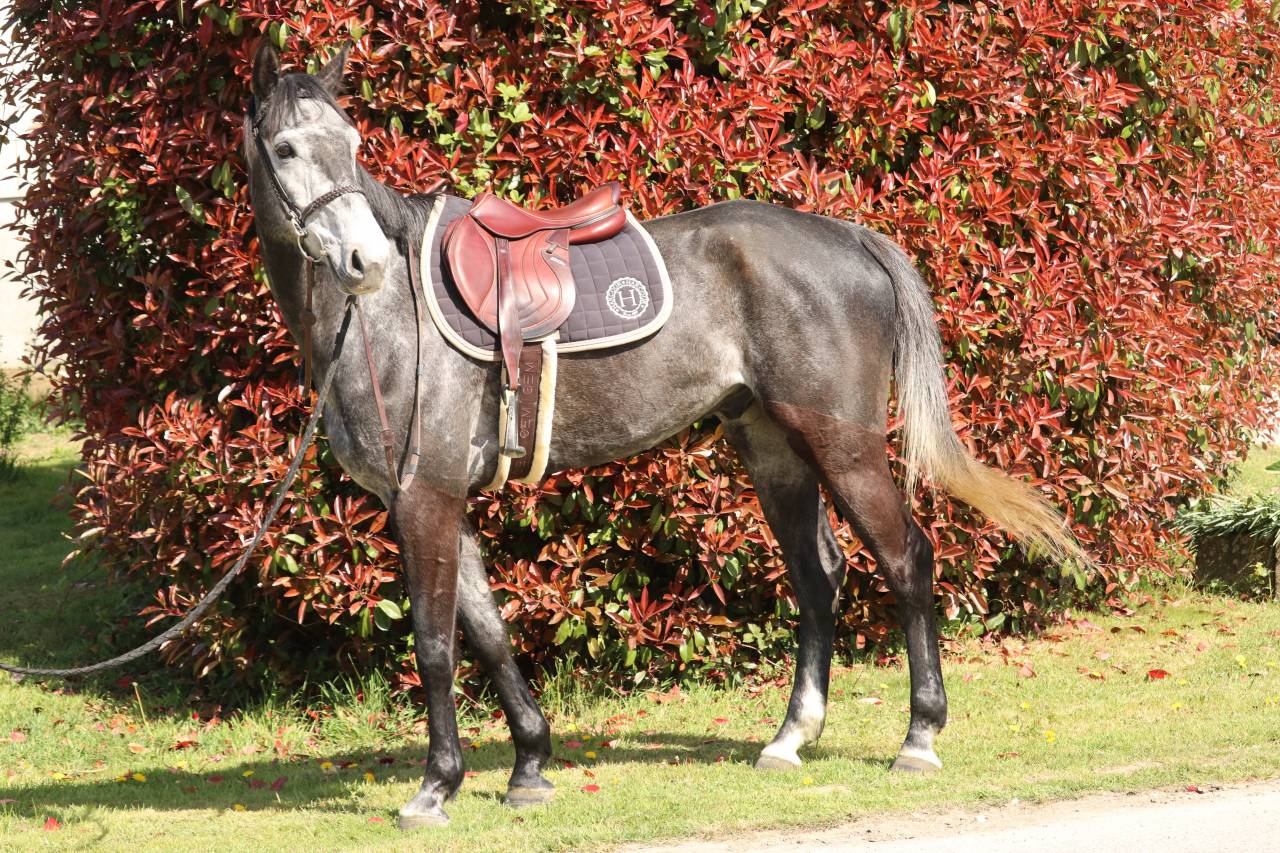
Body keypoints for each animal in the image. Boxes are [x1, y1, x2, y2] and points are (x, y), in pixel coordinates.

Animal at [244, 42, 1085, 829]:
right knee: (818, 575)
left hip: (841, 446)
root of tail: (847, 236)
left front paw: (435, 785)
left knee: (906, 558)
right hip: (773, 449)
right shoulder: (440, 500)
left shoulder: (427, 495)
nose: (365, 261)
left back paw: (919, 736)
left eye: (353, 143)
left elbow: (435, 641)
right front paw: (530, 764)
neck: (388, 320)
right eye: (286, 148)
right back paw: (790, 736)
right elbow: (487, 629)